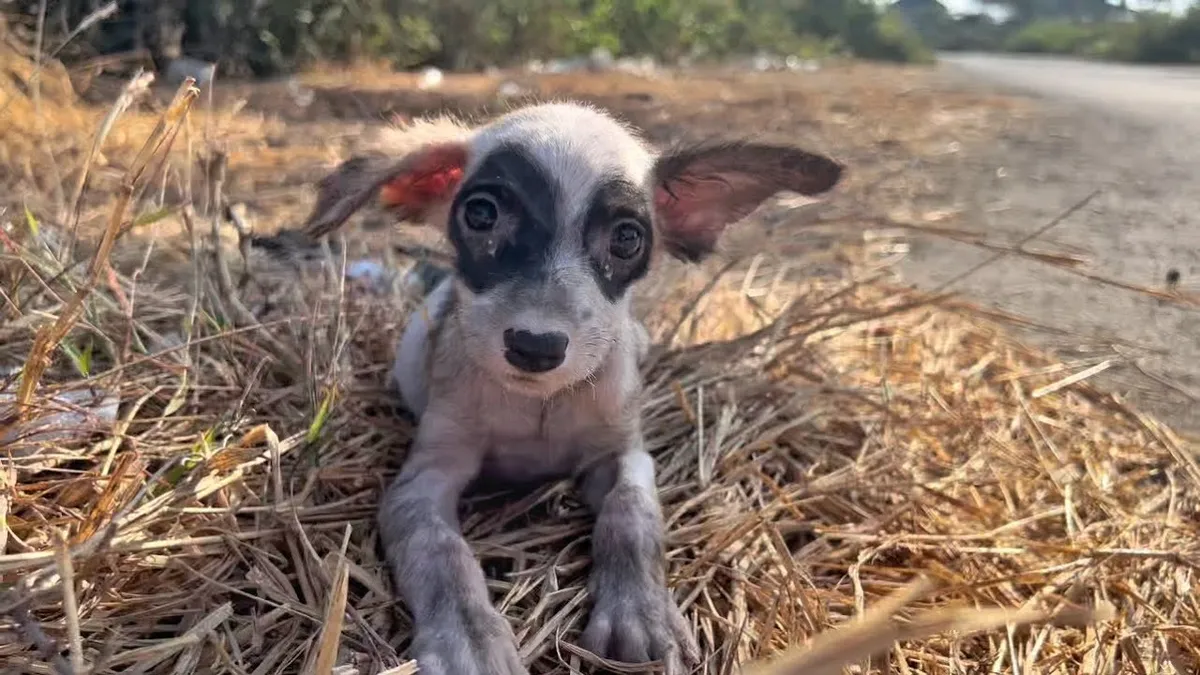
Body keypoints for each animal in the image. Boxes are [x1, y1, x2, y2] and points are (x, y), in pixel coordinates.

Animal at [292, 100, 835, 672]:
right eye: (480, 214)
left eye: (627, 238)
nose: (536, 346)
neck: (540, 408)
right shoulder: (420, 482)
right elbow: (440, 551)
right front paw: (469, 635)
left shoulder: (625, 453)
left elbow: (631, 514)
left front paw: (641, 612)